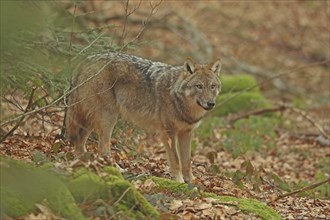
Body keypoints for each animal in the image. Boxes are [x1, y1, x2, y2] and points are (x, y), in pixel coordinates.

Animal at [64, 52, 222, 183]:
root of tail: (84, 61)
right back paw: (116, 169)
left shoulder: (187, 133)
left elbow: (187, 161)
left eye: (212, 86)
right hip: (108, 118)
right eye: (199, 86)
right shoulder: (169, 133)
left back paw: (82, 164)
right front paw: (179, 181)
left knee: (79, 143)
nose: (211, 103)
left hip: (91, 120)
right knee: (102, 148)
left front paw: (192, 181)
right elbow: (176, 160)